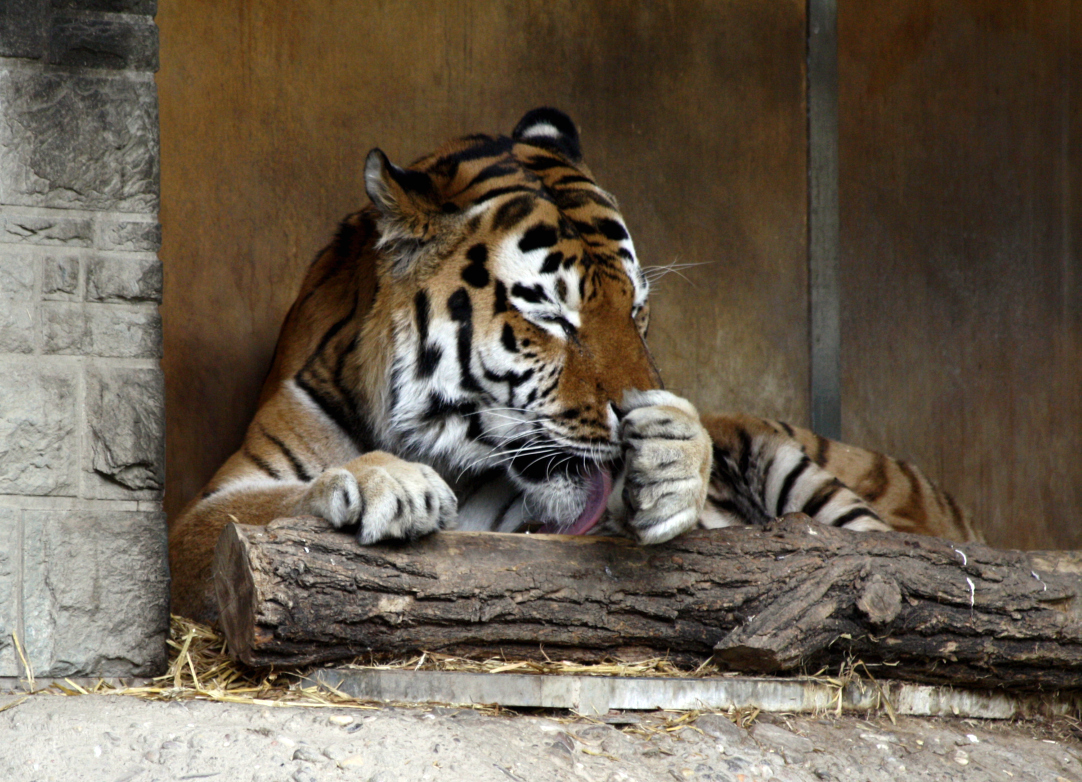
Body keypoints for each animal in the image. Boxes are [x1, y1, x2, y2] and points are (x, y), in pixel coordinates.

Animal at [170, 108, 982, 623]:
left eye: (637, 308)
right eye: (552, 316)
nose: (637, 414)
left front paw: (673, 458)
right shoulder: (207, 507)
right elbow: (267, 506)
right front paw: (387, 483)